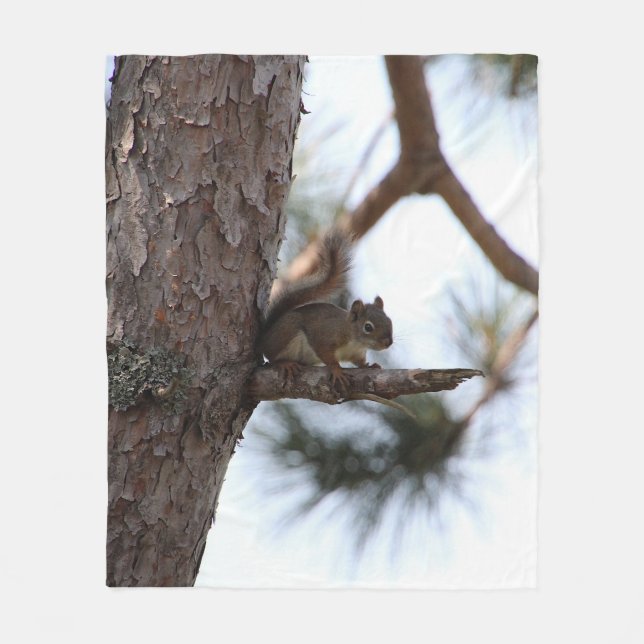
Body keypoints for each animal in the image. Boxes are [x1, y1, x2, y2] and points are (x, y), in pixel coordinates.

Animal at [258, 230, 393, 394]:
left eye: (390, 321)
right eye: (368, 327)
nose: (388, 343)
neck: (354, 340)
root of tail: (264, 338)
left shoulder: (356, 353)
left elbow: (359, 362)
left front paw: (370, 366)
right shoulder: (325, 335)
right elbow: (325, 354)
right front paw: (337, 370)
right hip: (287, 332)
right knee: (272, 357)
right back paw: (285, 363)